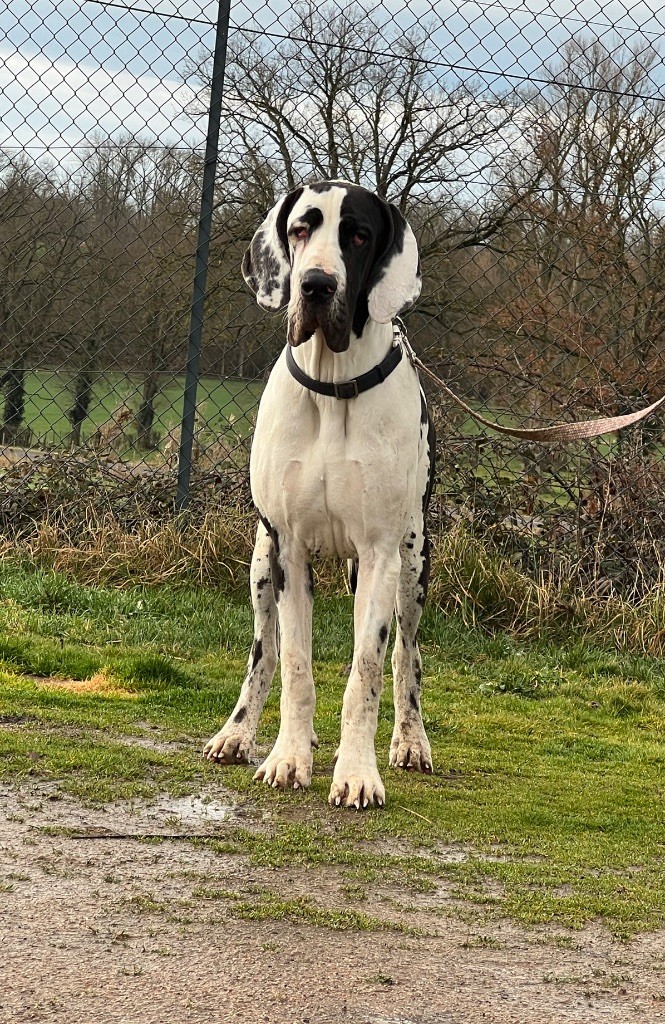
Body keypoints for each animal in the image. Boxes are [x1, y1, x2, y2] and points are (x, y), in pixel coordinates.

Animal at [204, 182, 438, 806]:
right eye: (300, 229)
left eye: (357, 235)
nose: (315, 285)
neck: (334, 386)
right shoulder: (289, 548)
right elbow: (294, 664)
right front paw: (288, 758)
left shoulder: (380, 555)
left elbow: (367, 671)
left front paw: (357, 773)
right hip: (261, 563)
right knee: (263, 649)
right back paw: (238, 733)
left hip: (412, 564)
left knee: (406, 655)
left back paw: (410, 740)